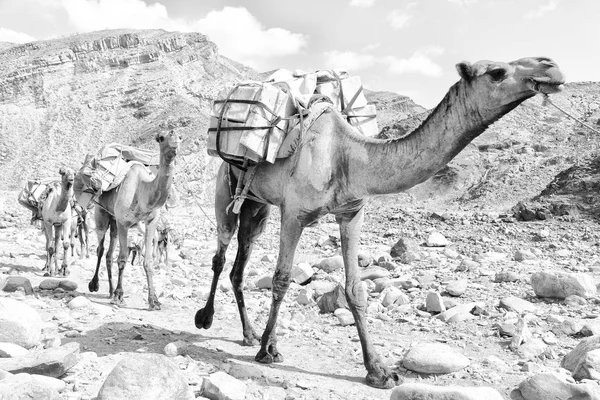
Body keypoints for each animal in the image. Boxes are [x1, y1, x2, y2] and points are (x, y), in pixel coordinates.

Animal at [88, 131, 179, 310]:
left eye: (179, 137)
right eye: (161, 137)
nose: (174, 145)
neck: (141, 190)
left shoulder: (151, 222)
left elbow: (148, 261)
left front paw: (154, 301)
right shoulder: (124, 222)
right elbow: (122, 259)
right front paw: (119, 296)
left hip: (114, 222)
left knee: (109, 253)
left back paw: (110, 291)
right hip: (101, 214)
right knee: (101, 249)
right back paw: (95, 285)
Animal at [196, 56, 564, 388]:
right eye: (497, 72)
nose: (551, 67)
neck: (345, 155)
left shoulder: (351, 212)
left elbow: (355, 290)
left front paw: (379, 371)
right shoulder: (294, 213)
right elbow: (282, 280)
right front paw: (268, 350)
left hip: (257, 206)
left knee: (240, 263)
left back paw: (247, 333)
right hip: (225, 188)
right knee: (221, 254)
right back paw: (206, 318)